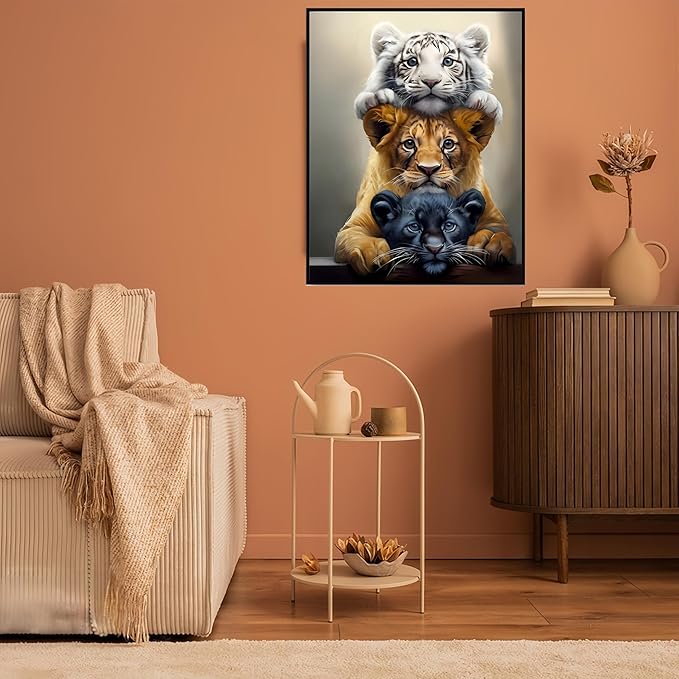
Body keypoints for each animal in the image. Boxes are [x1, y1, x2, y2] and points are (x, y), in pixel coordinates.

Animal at [334, 104, 513, 275]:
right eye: (409, 144)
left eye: (448, 144)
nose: (429, 169)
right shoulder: (353, 226)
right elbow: (356, 236)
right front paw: (373, 253)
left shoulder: (494, 220)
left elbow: (500, 233)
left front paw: (490, 242)